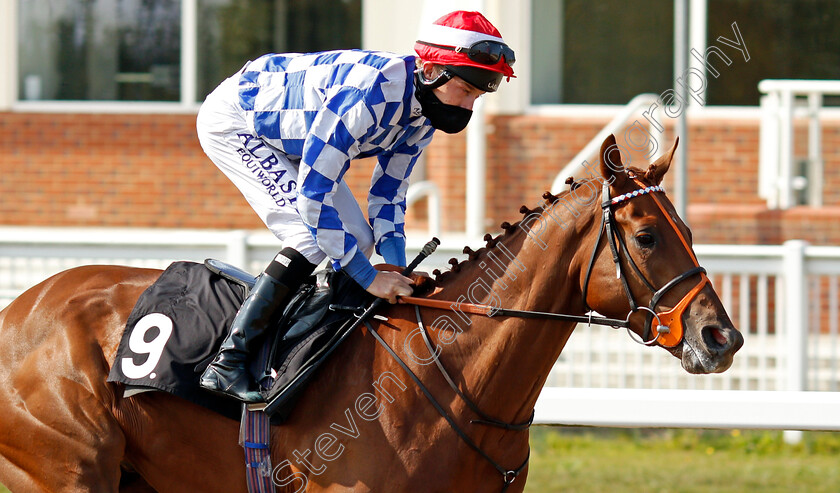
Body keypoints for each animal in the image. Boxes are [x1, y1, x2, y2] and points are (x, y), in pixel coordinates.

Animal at [0, 135, 740, 492]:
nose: (722, 336)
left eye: (690, 230)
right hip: (66, 470)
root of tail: (19, 309)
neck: (452, 380)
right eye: (647, 235)